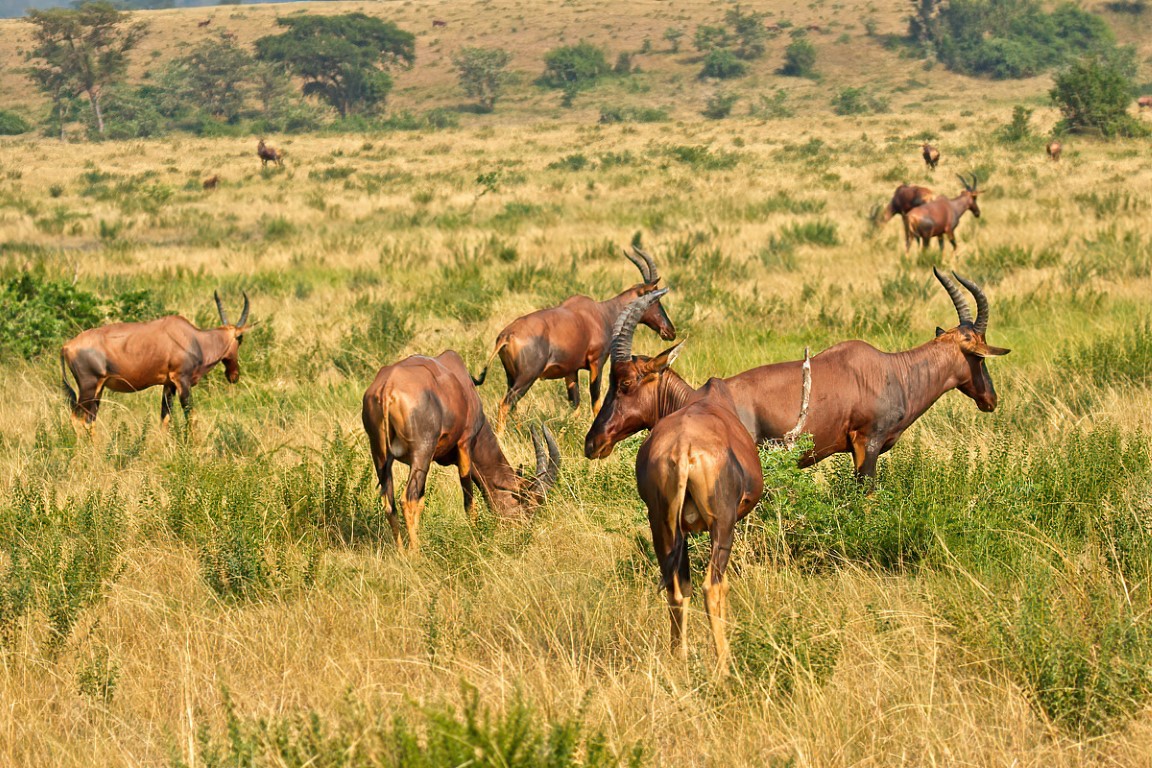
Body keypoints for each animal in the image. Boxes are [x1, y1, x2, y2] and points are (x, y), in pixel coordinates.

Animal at [59, 291, 253, 430]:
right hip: (88, 387)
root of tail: (67, 346)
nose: (233, 375)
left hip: (98, 389)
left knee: (89, 420)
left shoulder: (169, 385)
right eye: (240, 338)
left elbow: (165, 419)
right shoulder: (182, 381)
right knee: (76, 419)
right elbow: (191, 417)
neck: (193, 337)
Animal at [359, 347, 557, 552]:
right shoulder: (465, 446)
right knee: (407, 500)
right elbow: (469, 501)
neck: (462, 384)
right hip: (421, 454)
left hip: (381, 456)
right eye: (528, 503)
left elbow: (422, 502)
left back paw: (401, 552)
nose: (522, 534)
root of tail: (387, 390)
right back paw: (416, 553)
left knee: (389, 503)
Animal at [472, 249, 672, 435]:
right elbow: (595, 400)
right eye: (654, 299)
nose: (670, 331)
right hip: (526, 378)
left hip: (512, 378)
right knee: (505, 404)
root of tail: (506, 336)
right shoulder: (597, 363)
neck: (602, 313)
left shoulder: (570, 371)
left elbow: (574, 404)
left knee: (513, 407)